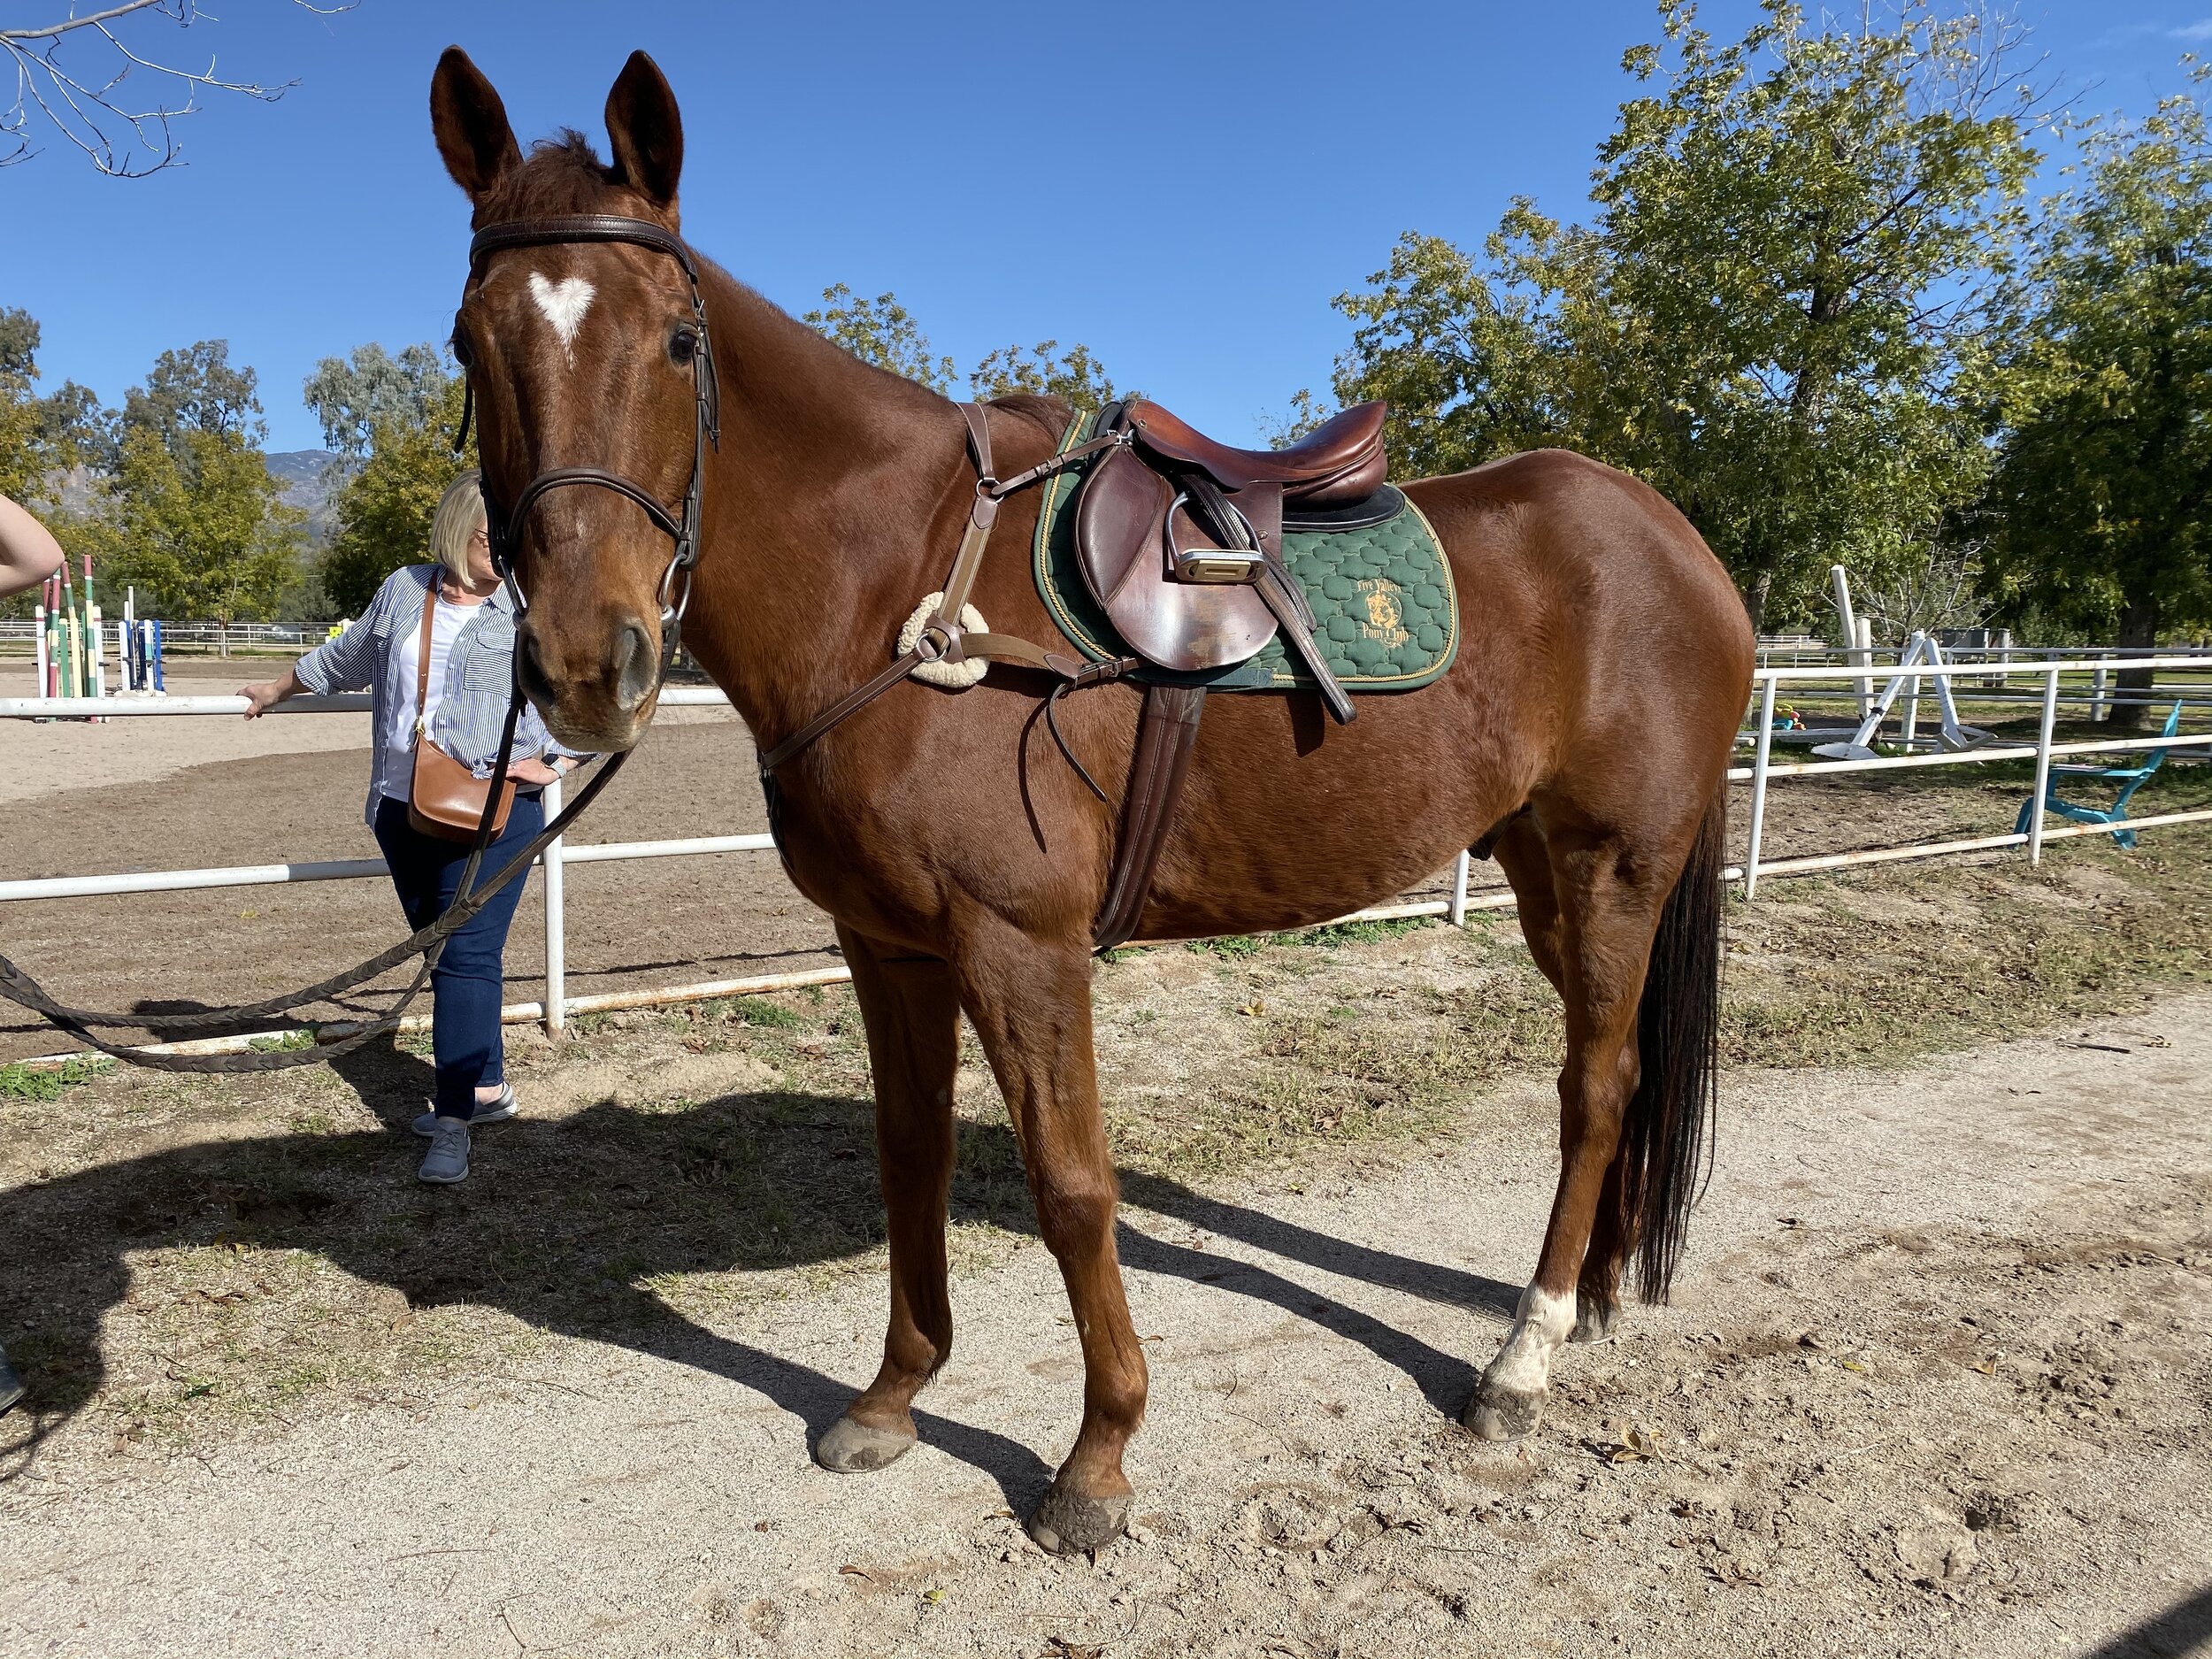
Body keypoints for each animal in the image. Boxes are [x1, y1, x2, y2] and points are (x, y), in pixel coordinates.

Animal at [428, 47, 1754, 1556]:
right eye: (471, 343)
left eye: (676, 344)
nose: (588, 664)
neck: (899, 587)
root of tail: (1676, 543)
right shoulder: (891, 947)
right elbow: (912, 1158)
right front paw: (894, 1394)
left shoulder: (1021, 946)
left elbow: (1073, 1187)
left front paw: (1099, 1454)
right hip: (1543, 871)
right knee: (1621, 1070)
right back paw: (1590, 1297)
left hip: (1613, 867)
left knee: (1596, 1084)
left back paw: (1522, 1355)